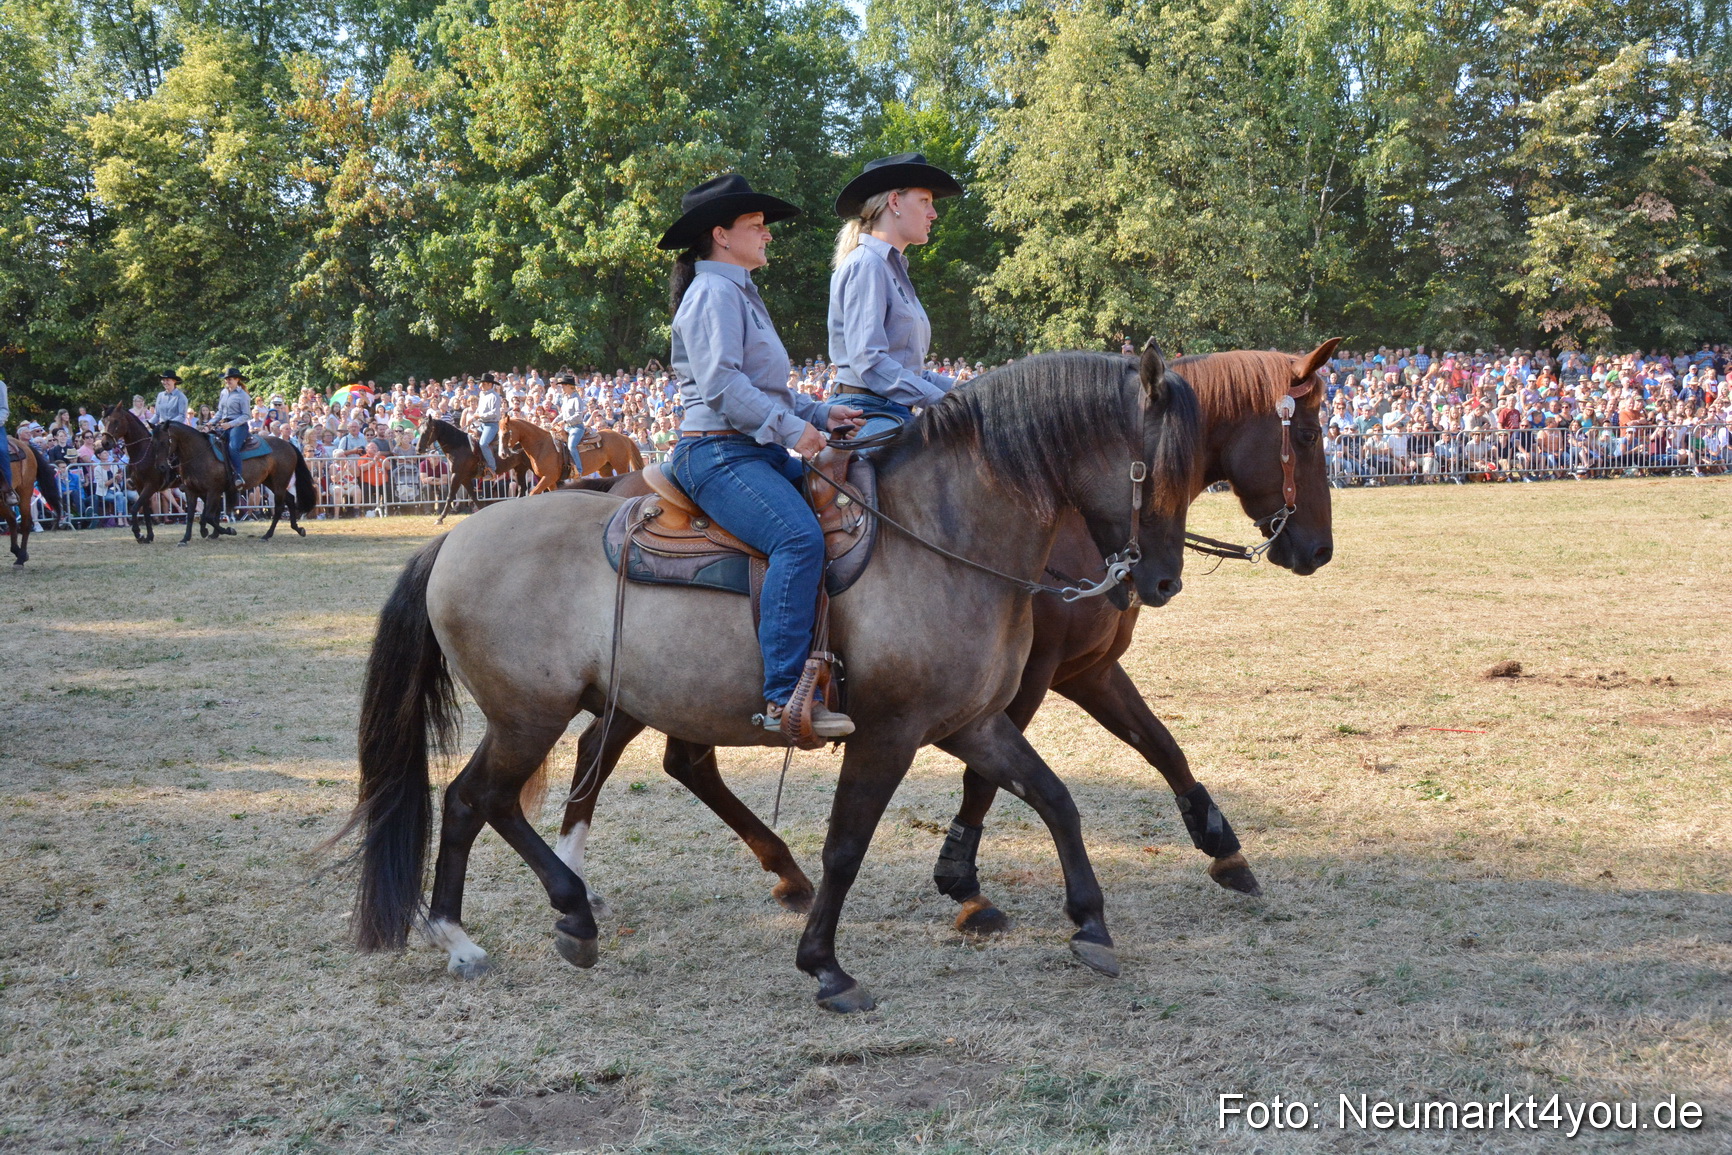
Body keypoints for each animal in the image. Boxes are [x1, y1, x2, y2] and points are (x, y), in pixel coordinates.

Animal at [101, 404, 175, 543]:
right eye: (103, 421)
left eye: (116, 421)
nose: (105, 443)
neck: (143, 452)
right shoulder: (140, 487)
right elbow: (145, 511)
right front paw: (148, 536)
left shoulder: (150, 486)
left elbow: (135, 508)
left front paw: (138, 533)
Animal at [150, 421, 316, 545]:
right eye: (153, 442)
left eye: (164, 442)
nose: (161, 467)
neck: (200, 454)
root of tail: (288, 445)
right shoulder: (192, 491)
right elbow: (191, 515)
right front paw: (185, 538)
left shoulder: (213, 491)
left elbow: (208, 516)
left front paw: (228, 530)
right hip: (271, 482)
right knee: (290, 499)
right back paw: (297, 528)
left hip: (279, 482)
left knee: (280, 506)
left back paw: (267, 535)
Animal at [340, 346, 1199, 1012]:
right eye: (1158, 468)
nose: (1162, 582)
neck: (940, 534)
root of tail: (451, 542)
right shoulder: (889, 731)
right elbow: (847, 844)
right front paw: (825, 966)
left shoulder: (971, 722)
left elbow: (1055, 797)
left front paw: (1091, 923)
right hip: (529, 714)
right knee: (476, 798)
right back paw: (502, 925)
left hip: (569, 711)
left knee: (495, 798)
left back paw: (527, 922)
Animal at [550, 341, 1340, 928]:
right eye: (1305, 433)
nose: (1319, 550)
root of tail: (619, 483)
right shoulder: (1029, 677)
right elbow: (985, 777)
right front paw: (962, 880)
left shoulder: (1086, 669)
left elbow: (1159, 744)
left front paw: (1223, 845)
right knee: (602, 753)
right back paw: (577, 888)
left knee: (684, 762)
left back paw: (785, 874)